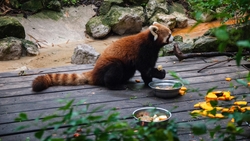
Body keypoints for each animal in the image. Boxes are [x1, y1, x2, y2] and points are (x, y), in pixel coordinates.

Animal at [32, 22, 174, 91]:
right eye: (169, 34)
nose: (173, 38)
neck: (151, 42)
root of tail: (94, 71)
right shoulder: (141, 51)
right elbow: (145, 68)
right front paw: (160, 73)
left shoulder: (152, 53)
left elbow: (147, 71)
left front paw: (149, 82)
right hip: (109, 64)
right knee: (114, 70)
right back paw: (115, 86)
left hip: (127, 69)